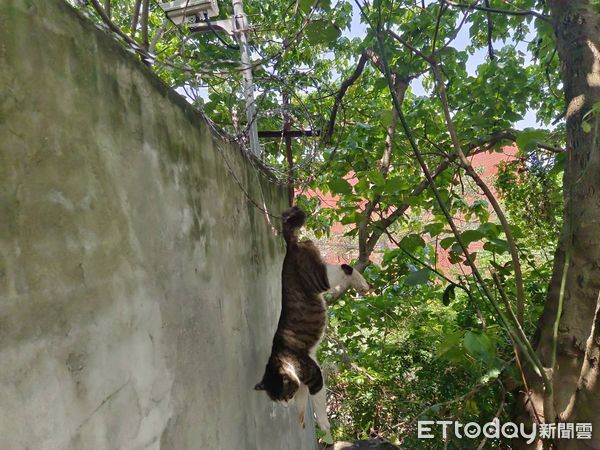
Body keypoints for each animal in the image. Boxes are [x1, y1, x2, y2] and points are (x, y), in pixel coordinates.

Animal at [254, 206, 370, 434]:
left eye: (284, 395)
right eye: (278, 400)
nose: (285, 406)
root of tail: (289, 246)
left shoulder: (315, 375)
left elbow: (318, 404)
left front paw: (324, 427)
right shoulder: (304, 382)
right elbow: (303, 401)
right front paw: (300, 419)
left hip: (320, 279)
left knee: (346, 267)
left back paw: (362, 284)